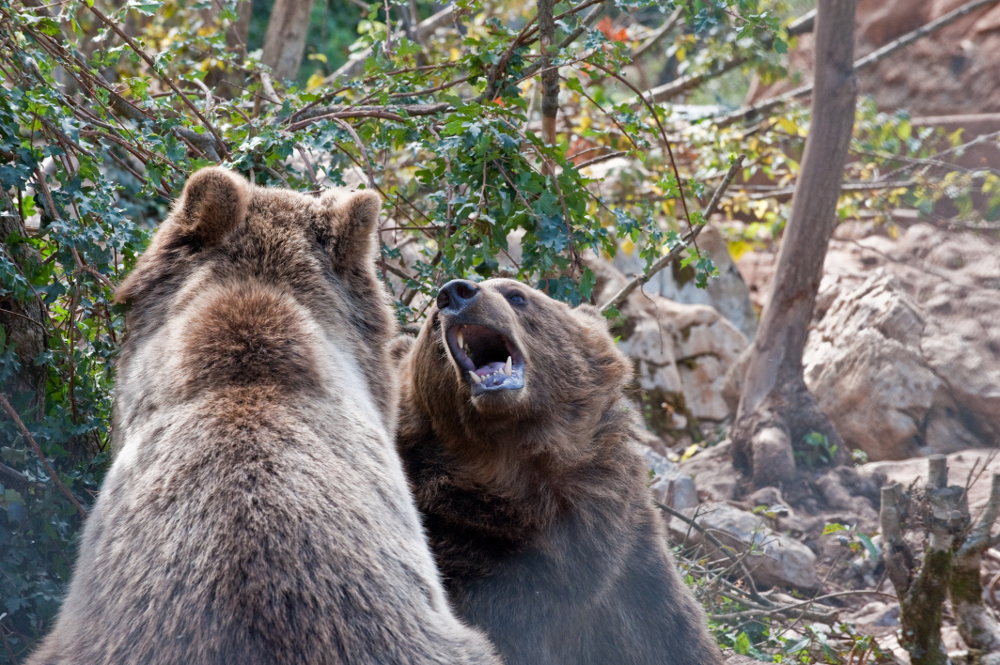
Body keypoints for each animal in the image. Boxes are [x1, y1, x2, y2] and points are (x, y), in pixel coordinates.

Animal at [392, 278, 728, 664]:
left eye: (516, 295)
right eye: (432, 323)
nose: (454, 293)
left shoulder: (628, 574)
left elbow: (672, 634)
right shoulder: (471, 564)